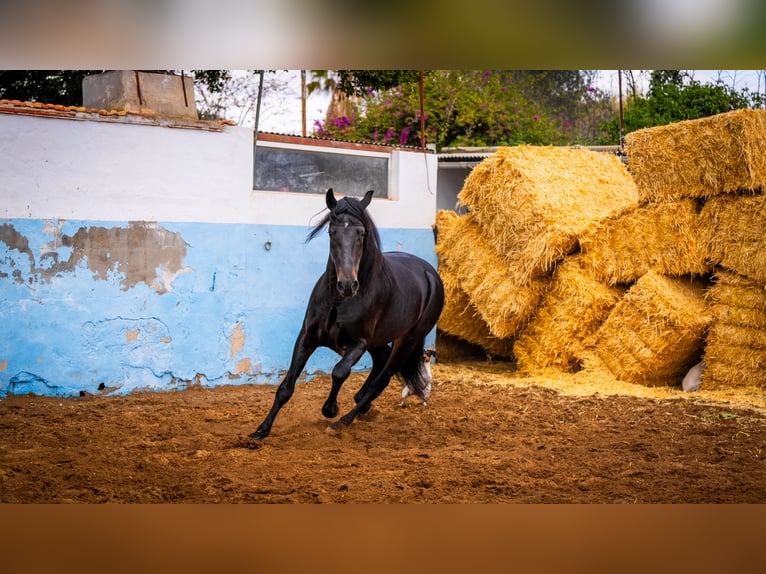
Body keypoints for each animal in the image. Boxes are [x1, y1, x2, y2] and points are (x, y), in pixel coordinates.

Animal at [249, 189, 448, 440]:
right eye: (332, 232)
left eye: (361, 233)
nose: (347, 285)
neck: (338, 301)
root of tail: (430, 273)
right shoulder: (307, 337)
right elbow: (286, 387)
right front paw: (261, 430)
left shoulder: (359, 343)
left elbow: (339, 372)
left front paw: (330, 409)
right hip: (379, 341)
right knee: (381, 361)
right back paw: (362, 404)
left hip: (408, 340)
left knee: (383, 378)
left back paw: (344, 420)